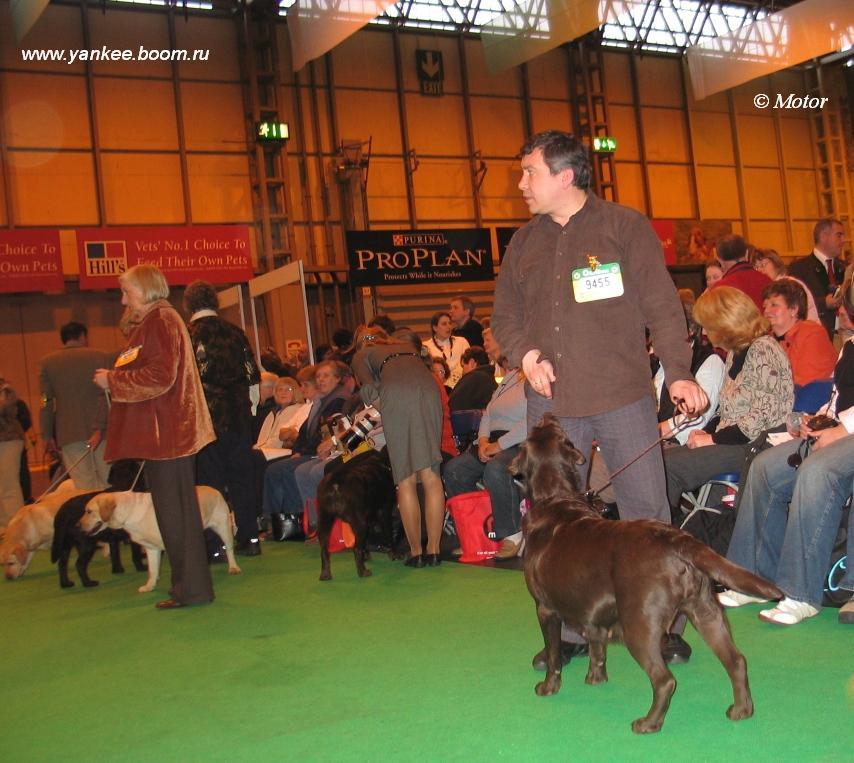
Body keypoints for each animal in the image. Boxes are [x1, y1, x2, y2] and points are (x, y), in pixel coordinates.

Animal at [79, 486, 241, 593]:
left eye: (89, 511)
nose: (77, 526)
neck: (129, 511)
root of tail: (214, 489)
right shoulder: (151, 548)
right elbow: (152, 569)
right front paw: (150, 585)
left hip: (224, 527)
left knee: (229, 549)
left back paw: (233, 567)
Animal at [317, 449, 402, 580]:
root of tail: (335, 484)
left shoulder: (368, 516)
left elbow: (366, 541)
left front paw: (366, 556)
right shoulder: (384, 510)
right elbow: (388, 534)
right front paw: (394, 554)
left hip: (325, 519)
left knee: (324, 548)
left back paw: (325, 574)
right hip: (360, 523)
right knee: (355, 548)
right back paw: (363, 572)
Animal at [513, 415, 783, 734]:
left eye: (534, 431)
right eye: (553, 430)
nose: (549, 415)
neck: (555, 498)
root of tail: (676, 538)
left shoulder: (545, 608)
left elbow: (554, 654)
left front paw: (548, 687)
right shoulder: (594, 614)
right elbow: (597, 647)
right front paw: (596, 679)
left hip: (639, 623)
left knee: (664, 680)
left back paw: (648, 722)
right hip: (706, 610)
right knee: (736, 661)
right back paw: (741, 710)